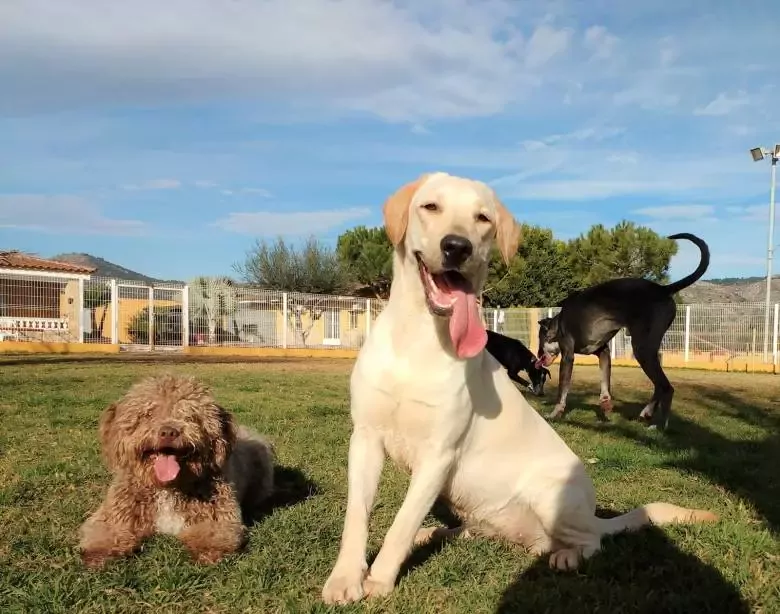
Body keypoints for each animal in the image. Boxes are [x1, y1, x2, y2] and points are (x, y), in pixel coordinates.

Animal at [79, 372, 274, 572]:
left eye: (190, 415)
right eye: (148, 414)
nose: (168, 432)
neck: (167, 487)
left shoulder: (218, 516)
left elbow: (213, 534)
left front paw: (209, 552)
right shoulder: (117, 514)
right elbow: (108, 531)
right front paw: (99, 552)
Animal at [540, 233, 708, 430]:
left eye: (540, 341)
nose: (537, 358)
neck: (560, 322)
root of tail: (663, 289)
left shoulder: (568, 356)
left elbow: (562, 389)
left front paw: (555, 413)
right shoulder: (603, 352)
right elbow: (605, 382)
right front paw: (605, 404)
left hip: (642, 350)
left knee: (666, 388)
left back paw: (660, 426)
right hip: (649, 350)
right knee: (659, 386)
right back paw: (646, 413)